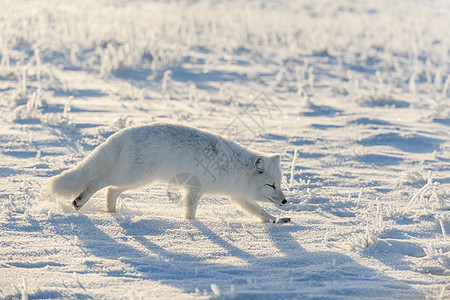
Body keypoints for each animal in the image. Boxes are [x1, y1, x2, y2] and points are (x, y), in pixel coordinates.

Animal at [45, 122, 290, 223]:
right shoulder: (196, 187)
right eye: (271, 185)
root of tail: (122, 134)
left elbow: (259, 210)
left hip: (138, 180)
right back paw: (80, 201)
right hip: (135, 176)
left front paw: (275, 220)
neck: (235, 167)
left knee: (111, 190)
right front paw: (192, 224)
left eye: (279, 184)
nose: (285, 201)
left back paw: (113, 213)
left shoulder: (236, 195)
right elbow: (191, 211)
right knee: (98, 181)